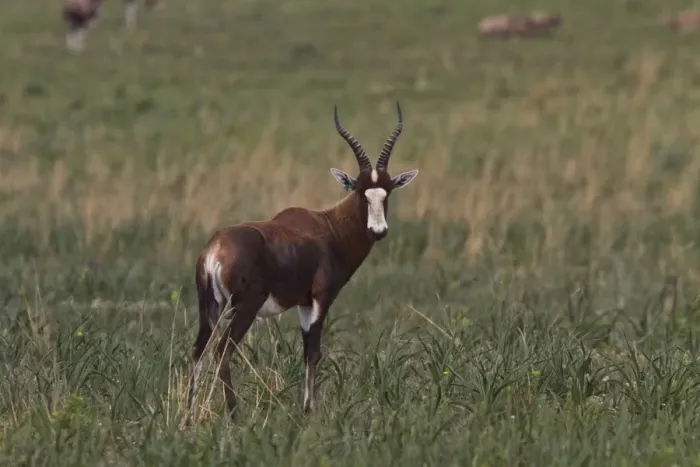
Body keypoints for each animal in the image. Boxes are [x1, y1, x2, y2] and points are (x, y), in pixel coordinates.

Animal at [186, 103, 419, 423]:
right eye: (361, 192)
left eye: (388, 192)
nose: (378, 231)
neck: (328, 227)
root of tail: (216, 249)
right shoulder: (321, 297)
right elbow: (314, 351)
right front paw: (309, 409)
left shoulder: (303, 303)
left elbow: (306, 349)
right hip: (243, 307)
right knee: (222, 351)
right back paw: (234, 414)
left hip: (209, 307)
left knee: (198, 350)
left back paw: (188, 417)